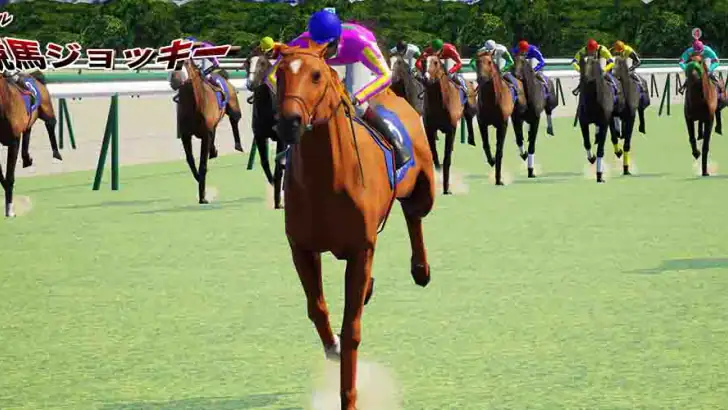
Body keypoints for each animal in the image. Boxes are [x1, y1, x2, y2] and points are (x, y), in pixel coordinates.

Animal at [169, 58, 242, 203]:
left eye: (185, 62)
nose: (174, 79)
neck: (194, 106)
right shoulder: (186, 135)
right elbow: (190, 160)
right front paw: (198, 178)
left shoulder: (205, 135)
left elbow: (202, 164)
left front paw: (203, 197)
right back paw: (213, 151)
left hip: (233, 107)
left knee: (234, 120)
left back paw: (238, 146)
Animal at [244, 52, 287, 209]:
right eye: (248, 62)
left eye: (262, 63)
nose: (251, 84)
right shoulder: (260, 136)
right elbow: (265, 162)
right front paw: (274, 184)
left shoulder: (281, 139)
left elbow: (279, 165)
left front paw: (279, 200)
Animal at [275, 42, 435, 410]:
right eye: (279, 73)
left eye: (316, 75)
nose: (289, 122)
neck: (327, 180)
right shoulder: (302, 247)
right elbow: (317, 308)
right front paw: (331, 345)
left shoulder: (361, 248)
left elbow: (352, 329)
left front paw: (348, 397)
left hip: (425, 190)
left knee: (414, 214)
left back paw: (420, 269)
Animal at [421, 55, 476, 194]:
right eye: (423, 62)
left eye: (436, 62)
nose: (425, 78)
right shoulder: (429, 128)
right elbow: (434, 155)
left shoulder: (451, 129)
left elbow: (447, 159)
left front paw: (447, 188)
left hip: (470, 108)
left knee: (469, 119)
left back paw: (471, 140)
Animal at [473, 51, 514, 185]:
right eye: (477, 62)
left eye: (490, 62)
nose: (481, 78)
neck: (492, 101)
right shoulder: (482, 122)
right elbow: (486, 144)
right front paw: (491, 160)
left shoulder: (503, 124)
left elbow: (499, 150)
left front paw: (498, 179)